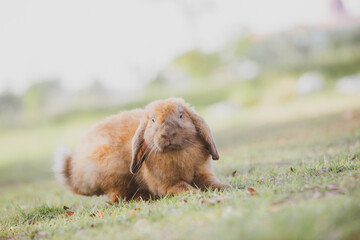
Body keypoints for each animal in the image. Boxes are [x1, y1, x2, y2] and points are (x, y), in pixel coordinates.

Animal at [54, 97, 232, 202]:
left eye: (181, 115)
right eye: (152, 120)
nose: (168, 134)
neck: (175, 152)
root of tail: (75, 169)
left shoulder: (203, 172)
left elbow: (210, 181)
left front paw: (225, 187)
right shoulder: (166, 184)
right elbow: (181, 187)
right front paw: (194, 193)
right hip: (115, 177)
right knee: (115, 198)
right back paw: (141, 198)